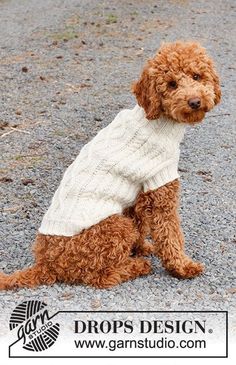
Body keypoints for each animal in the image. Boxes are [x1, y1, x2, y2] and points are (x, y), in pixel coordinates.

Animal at [0, 41, 221, 288]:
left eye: (197, 76)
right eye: (172, 84)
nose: (195, 102)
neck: (158, 122)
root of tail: (46, 264)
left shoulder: (139, 194)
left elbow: (141, 223)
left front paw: (140, 248)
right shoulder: (160, 186)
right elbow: (170, 233)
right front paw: (182, 266)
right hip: (114, 228)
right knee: (100, 276)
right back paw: (136, 267)